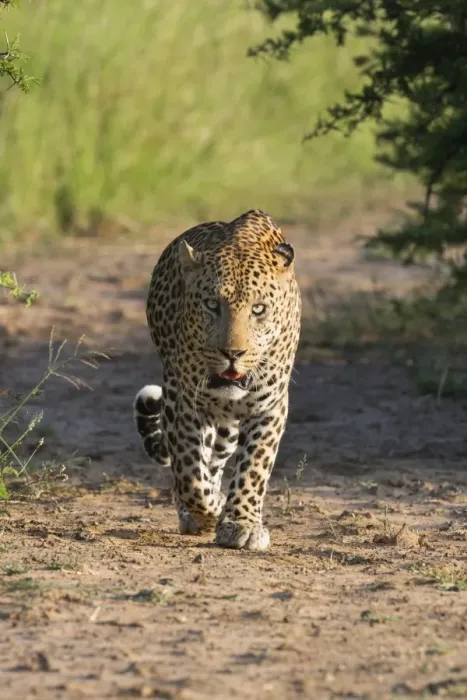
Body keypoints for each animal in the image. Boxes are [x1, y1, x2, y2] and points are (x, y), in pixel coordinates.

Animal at [134, 209, 301, 550]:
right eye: (212, 305)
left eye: (258, 309)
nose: (232, 353)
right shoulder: (183, 403)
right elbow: (188, 472)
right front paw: (210, 510)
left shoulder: (270, 407)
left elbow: (254, 466)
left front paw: (241, 523)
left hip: (225, 428)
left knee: (217, 459)